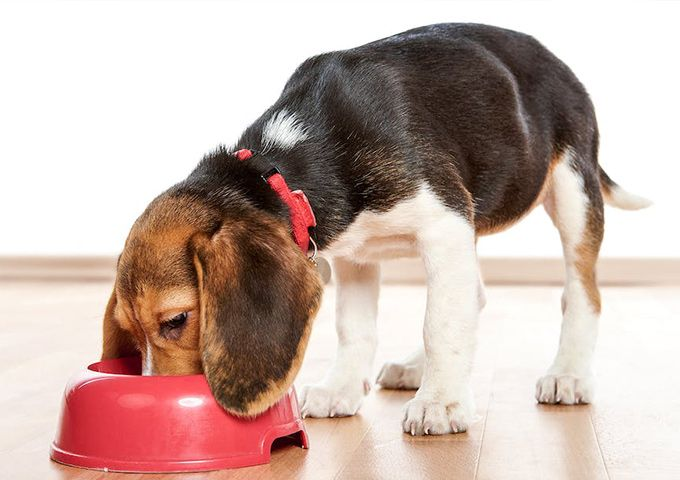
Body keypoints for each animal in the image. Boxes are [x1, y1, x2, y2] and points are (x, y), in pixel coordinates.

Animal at [103, 22, 652, 436]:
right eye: (130, 331)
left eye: (176, 320)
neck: (281, 166)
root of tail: (556, 59)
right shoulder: (355, 254)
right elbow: (357, 328)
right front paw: (343, 388)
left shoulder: (444, 222)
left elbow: (441, 323)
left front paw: (442, 404)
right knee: (471, 294)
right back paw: (415, 369)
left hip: (572, 189)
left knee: (580, 293)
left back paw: (567, 374)